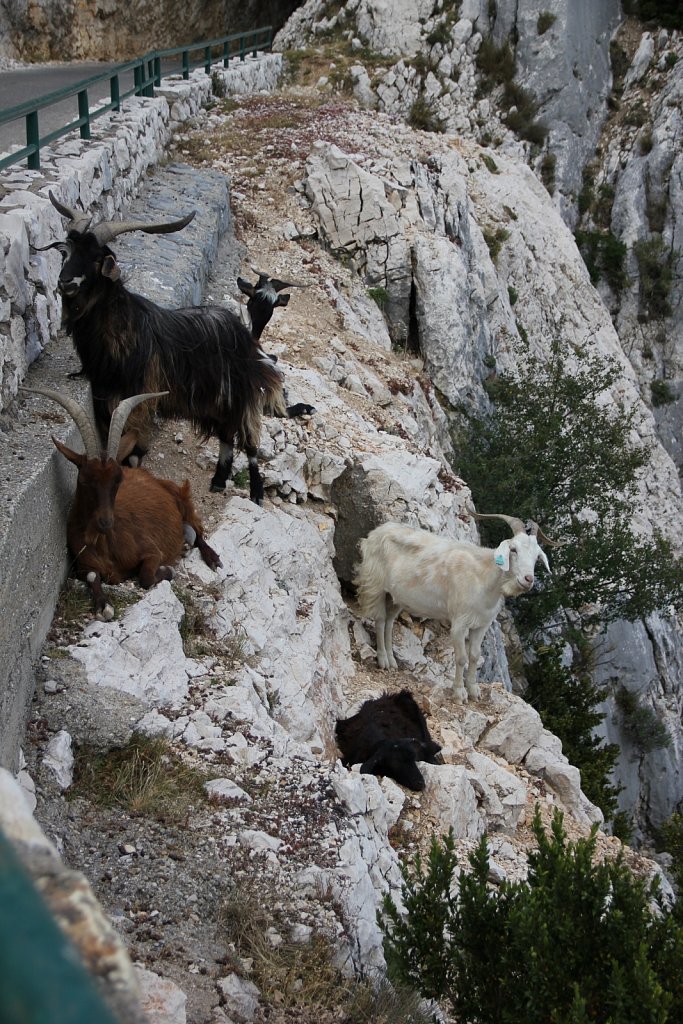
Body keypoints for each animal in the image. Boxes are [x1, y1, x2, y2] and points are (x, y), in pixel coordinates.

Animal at [22, 387, 222, 618]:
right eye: (85, 480)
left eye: (118, 479)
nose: (106, 522)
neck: (102, 541)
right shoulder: (83, 563)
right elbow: (92, 576)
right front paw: (104, 605)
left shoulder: (151, 550)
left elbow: (146, 577)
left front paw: (167, 570)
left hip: (181, 494)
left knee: (198, 529)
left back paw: (212, 558)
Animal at [43, 191, 282, 503]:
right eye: (66, 252)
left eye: (96, 259)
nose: (65, 281)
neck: (122, 328)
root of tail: (247, 338)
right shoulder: (105, 400)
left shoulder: (138, 402)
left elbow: (133, 451)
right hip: (217, 400)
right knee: (226, 434)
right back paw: (218, 481)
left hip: (241, 396)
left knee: (250, 440)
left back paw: (255, 492)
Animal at [356, 512, 552, 704]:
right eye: (513, 550)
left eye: (537, 557)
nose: (528, 580)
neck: (483, 578)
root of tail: (376, 532)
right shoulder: (459, 623)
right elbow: (461, 658)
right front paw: (459, 694)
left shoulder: (482, 625)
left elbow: (474, 655)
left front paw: (473, 691)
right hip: (376, 584)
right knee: (380, 620)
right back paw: (383, 660)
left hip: (397, 597)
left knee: (389, 622)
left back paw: (392, 660)